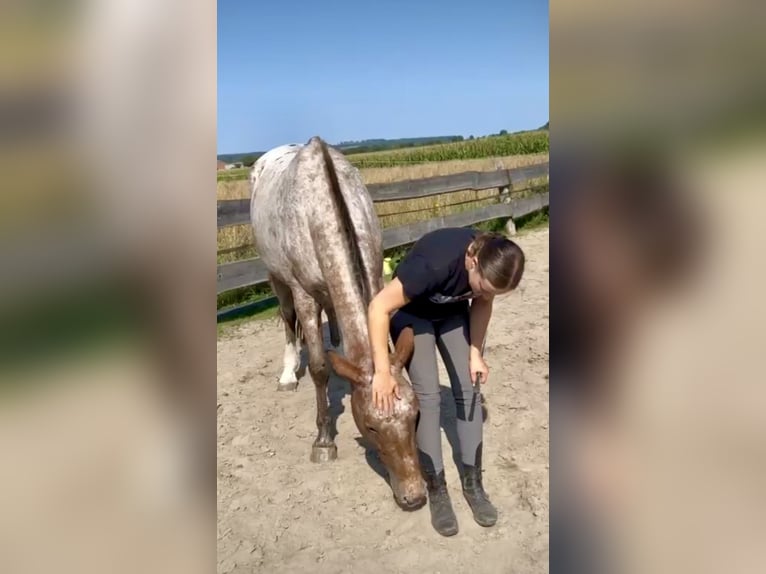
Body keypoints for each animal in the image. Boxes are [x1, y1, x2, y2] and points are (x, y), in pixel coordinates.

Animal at [250, 137, 426, 510]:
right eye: (371, 427)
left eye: (415, 416)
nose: (414, 497)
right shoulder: (303, 293)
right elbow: (319, 367)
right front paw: (323, 440)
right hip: (276, 278)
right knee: (288, 321)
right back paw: (288, 375)